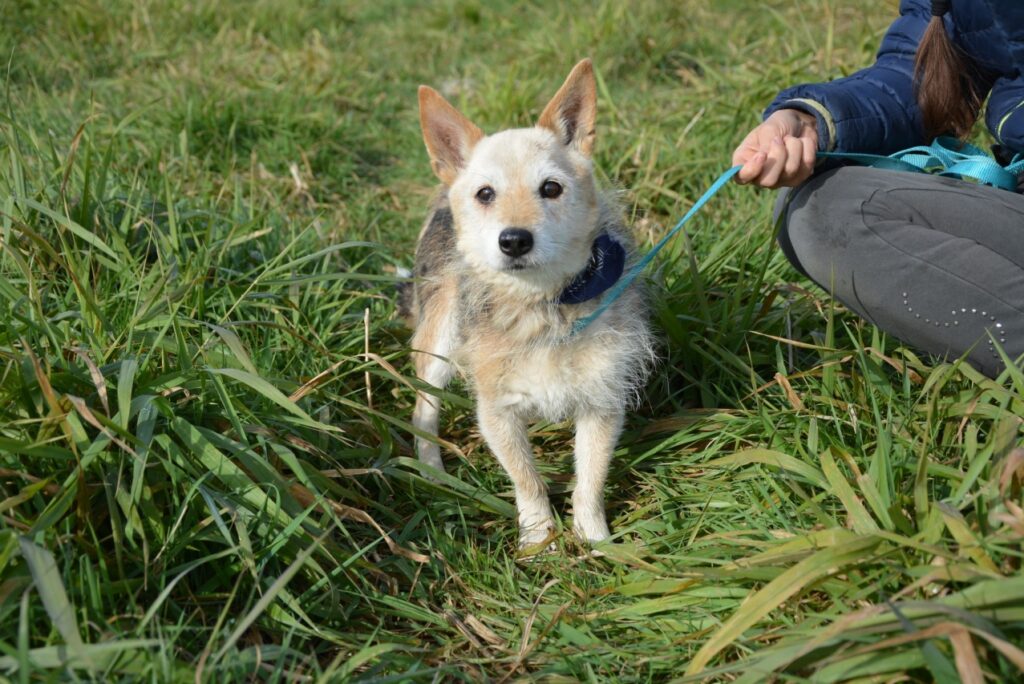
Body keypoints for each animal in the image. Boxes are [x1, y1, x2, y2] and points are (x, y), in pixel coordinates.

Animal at [401, 60, 651, 548]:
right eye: (485, 194)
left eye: (551, 188)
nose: (514, 240)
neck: (544, 305)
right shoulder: (497, 411)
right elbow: (527, 480)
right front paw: (538, 540)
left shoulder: (602, 402)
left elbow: (590, 479)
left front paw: (596, 542)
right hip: (439, 342)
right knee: (424, 411)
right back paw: (434, 472)